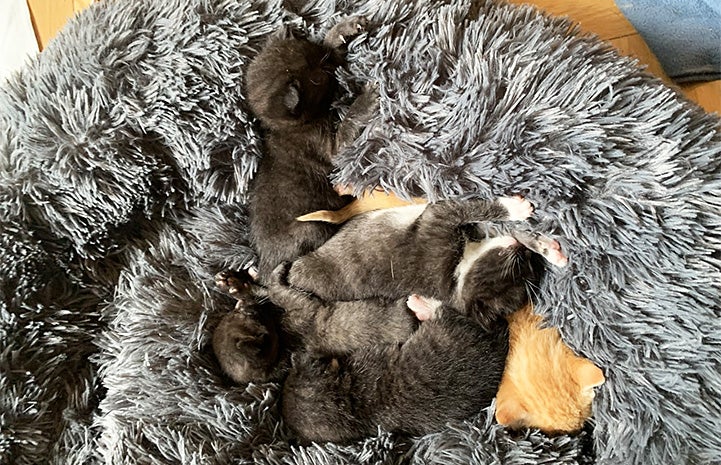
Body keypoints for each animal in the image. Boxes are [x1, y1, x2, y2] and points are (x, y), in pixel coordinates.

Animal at [245, 17, 376, 282]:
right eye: (322, 77)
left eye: (319, 56)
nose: (334, 64)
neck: (287, 128)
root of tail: (265, 266)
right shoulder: (327, 146)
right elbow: (349, 123)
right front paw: (366, 97)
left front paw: (343, 31)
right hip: (311, 227)